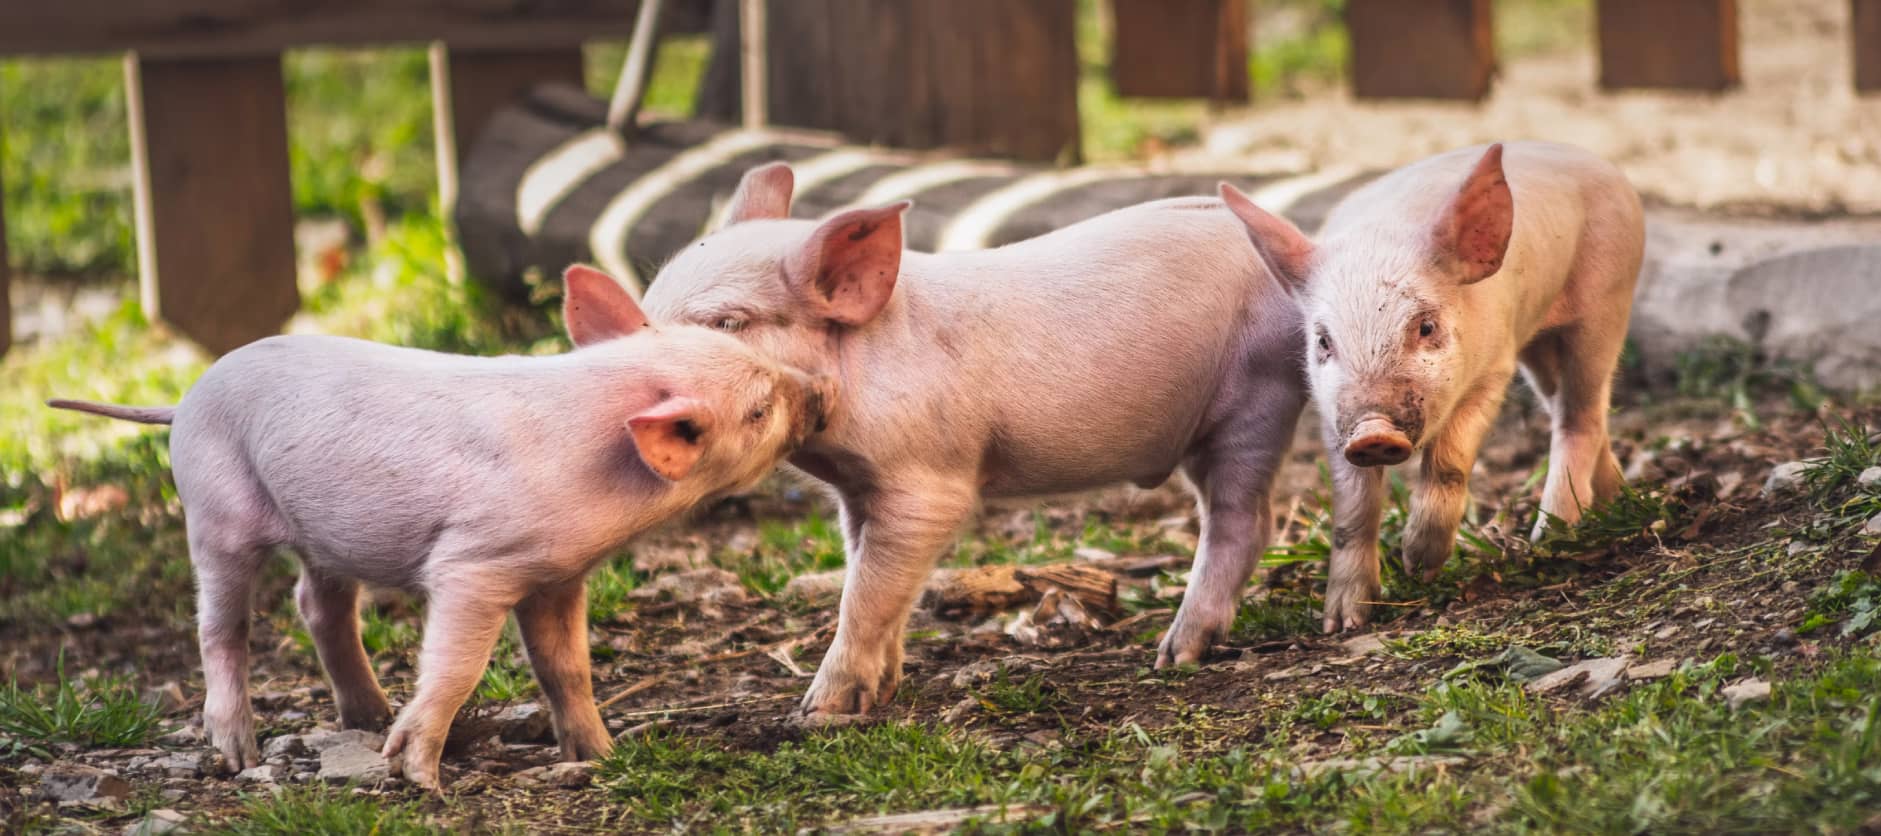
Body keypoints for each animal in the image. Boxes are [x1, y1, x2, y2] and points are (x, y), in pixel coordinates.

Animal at [48, 265, 829, 790]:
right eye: (759, 409)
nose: (821, 392)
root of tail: (182, 401)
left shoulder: (557, 576)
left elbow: (566, 667)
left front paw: (603, 755)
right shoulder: (474, 565)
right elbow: (457, 664)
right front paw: (420, 777)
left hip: (322, 534)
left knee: (318, 605)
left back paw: (366, 717)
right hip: (215, 508)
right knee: (220, 624)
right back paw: (242, 753)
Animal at [633, 162, 1309, 718]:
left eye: (728, 322)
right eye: (649, 306)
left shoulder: (928, 479)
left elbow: (867, 591)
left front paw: (817, 713)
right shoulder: (858, 490)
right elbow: (874, 579)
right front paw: (883, 691)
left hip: (1256, 401)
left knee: (1244, 519)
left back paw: (1175, 655)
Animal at [1219, 141, 1645, 632]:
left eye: (1425, 326)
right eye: (1324, 341)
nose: (1373, 431)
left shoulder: (1493, 367)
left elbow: (1449, 459)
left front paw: (1419, 566)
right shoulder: (1333, 413)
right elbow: (1352, 505)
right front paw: (1344, 622)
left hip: (1606, 302)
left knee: (1582, 415)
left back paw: (1551, 537)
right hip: (1542, 347)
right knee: (1569, 410)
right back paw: (1617, 501)